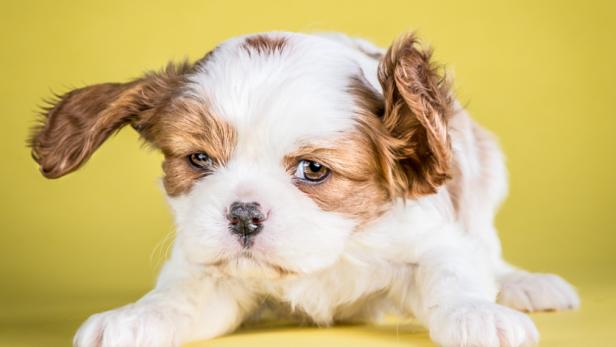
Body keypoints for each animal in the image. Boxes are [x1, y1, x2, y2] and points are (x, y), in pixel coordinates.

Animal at [28, 31, 580, 346]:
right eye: (200, 159)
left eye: (313, 170)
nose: (243, 215)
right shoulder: (210, 272)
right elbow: (180, 298)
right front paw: (137, 315)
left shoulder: (429, 236)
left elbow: (453, 273)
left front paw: (478, 314)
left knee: (488, 251)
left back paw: (523, 284)